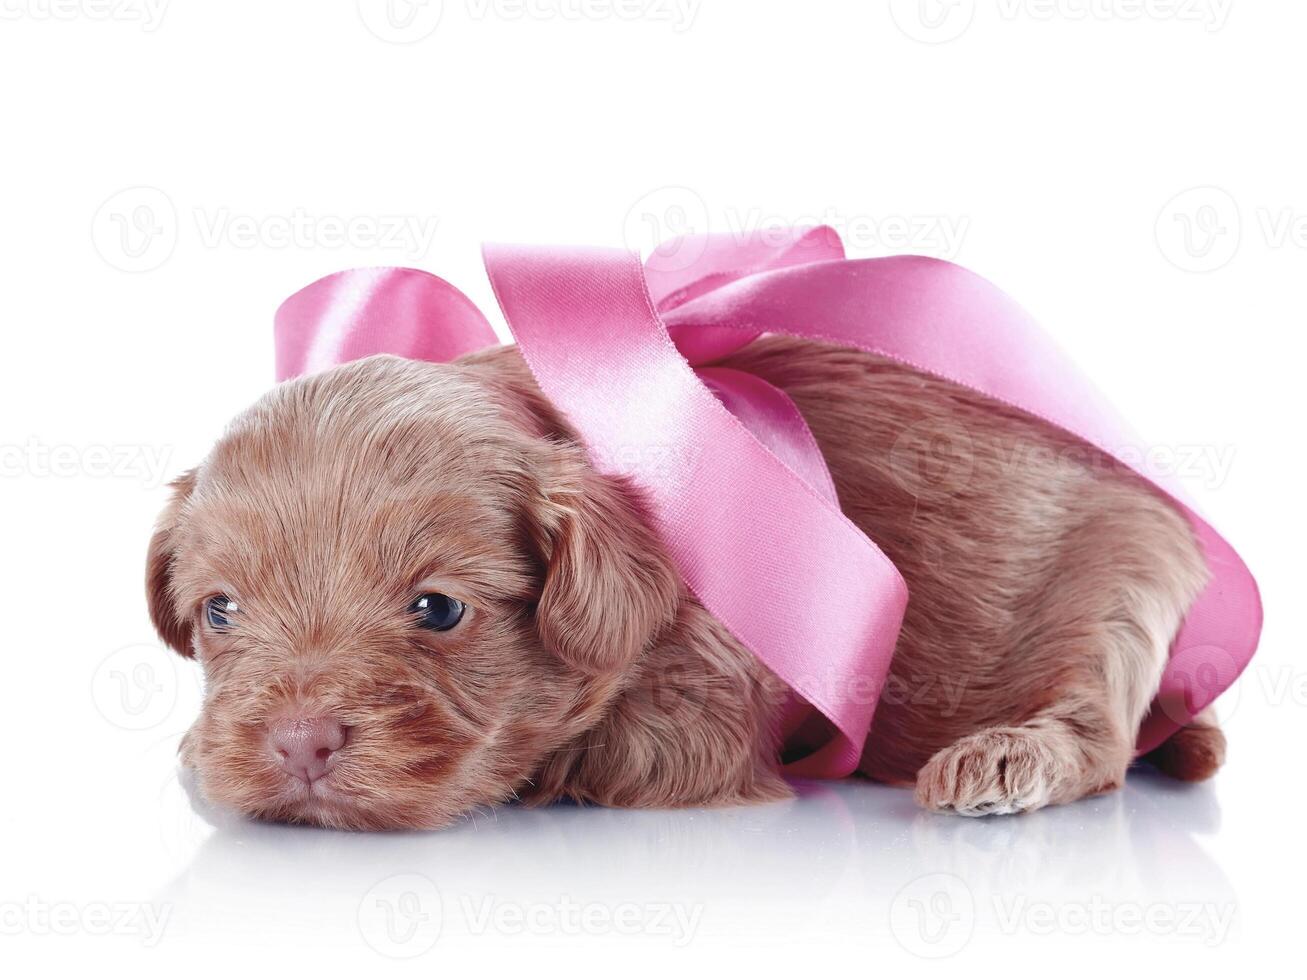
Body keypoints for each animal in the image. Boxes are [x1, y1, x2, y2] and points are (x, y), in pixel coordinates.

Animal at [148, 337, 1218, 831]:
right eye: (220, 611)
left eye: (438, 609)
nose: (296, 743)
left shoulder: (700, 702)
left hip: (1118, 589)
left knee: (1099, 730)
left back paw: (1001, 759)